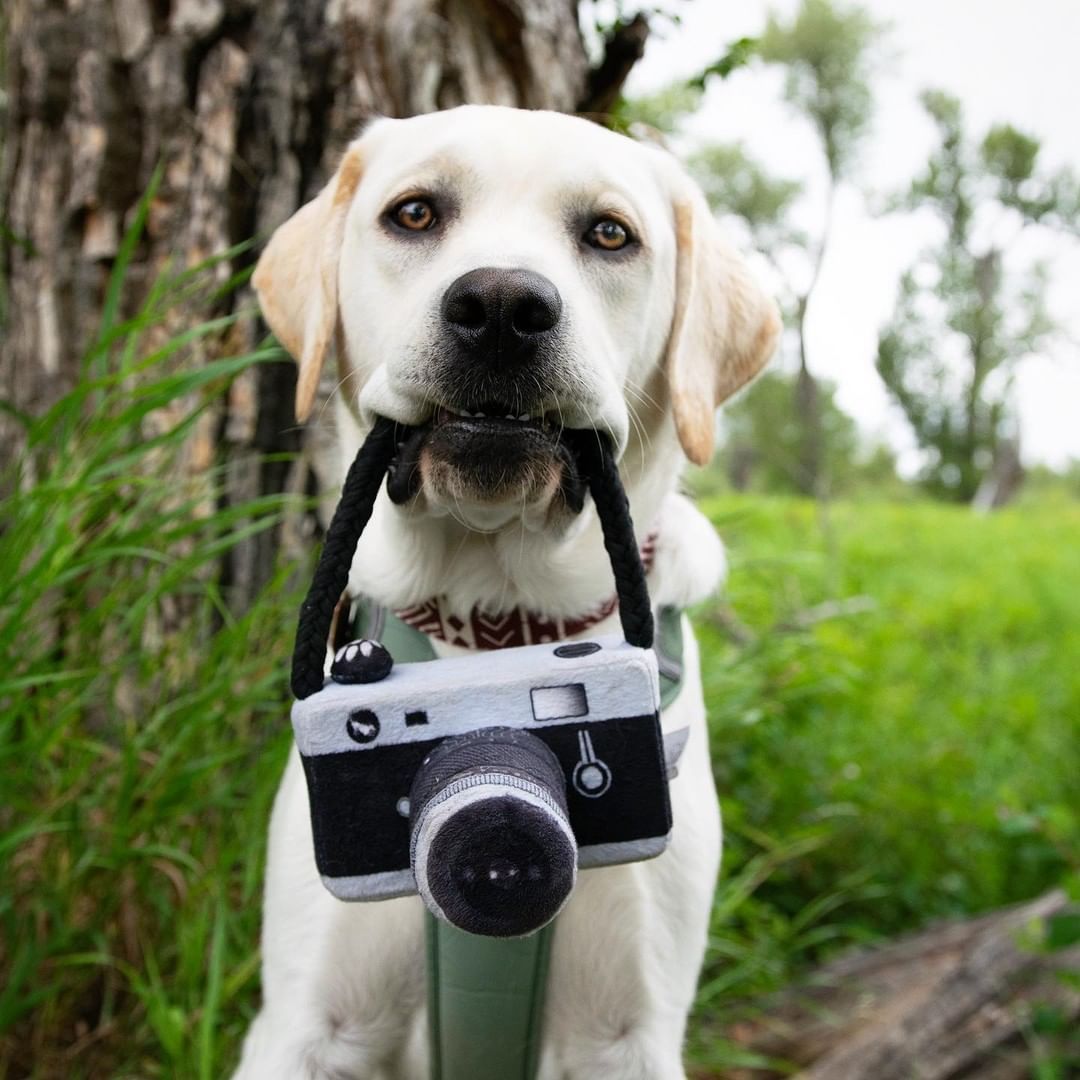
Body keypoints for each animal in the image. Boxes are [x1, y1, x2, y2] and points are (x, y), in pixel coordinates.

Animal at [234, 103, 777, 1080]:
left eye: (610, 234)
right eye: (414, 213)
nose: (499, 307)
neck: (500, 632)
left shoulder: (629, 1034)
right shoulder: (305, 1024)